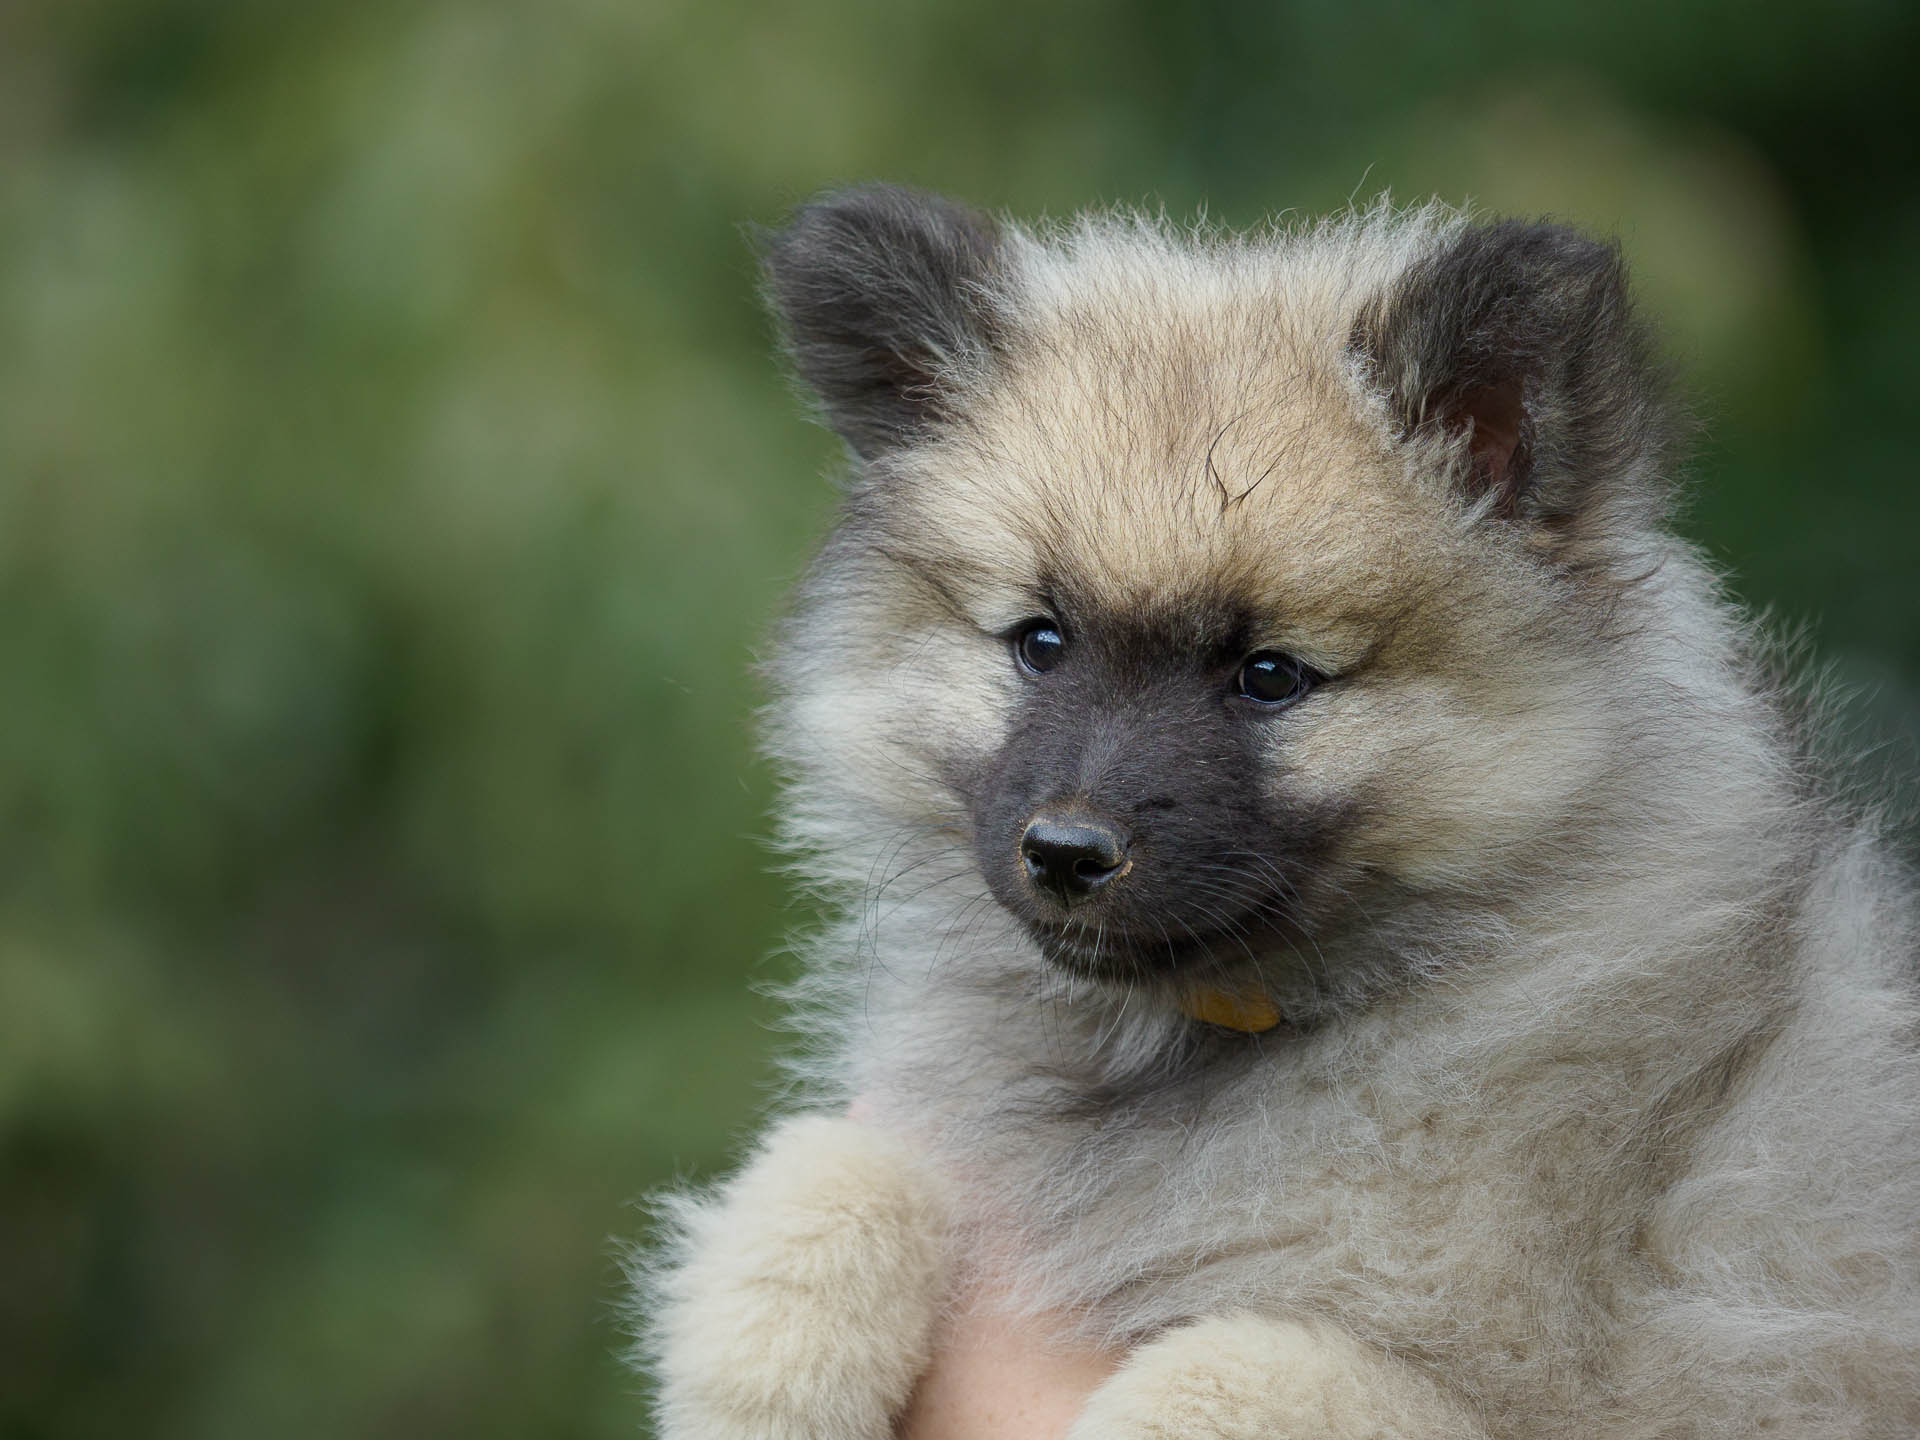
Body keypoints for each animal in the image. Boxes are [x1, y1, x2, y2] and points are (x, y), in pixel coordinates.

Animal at [637, 186, 1920, 1436]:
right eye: (1041, 643)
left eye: (1269, 676)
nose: (1066, 852)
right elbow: (836, 1167)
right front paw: (764, 1367)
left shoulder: (1604, 1386)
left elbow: (1214, 1372)